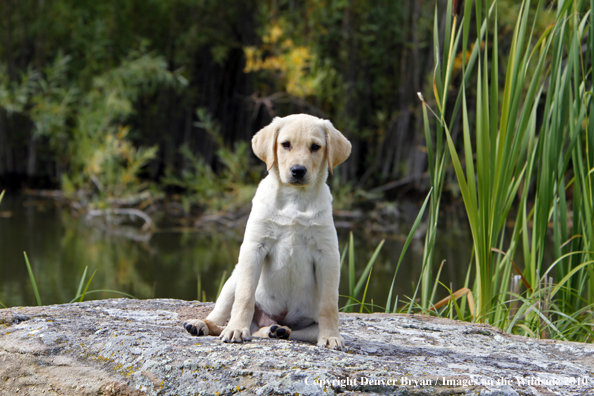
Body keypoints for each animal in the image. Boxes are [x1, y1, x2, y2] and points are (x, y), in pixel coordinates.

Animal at [183, 113, 350, 348]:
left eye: (315, 147)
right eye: (286, 144)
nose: (298, 171)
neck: (295, 199)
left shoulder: (327, 254)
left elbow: (329, 304)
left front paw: (331, 336)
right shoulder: (254, 247)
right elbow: (245, 297)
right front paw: (236, 329)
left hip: (304, 327)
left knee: (286, 330)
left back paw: (277, 330)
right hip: (232, 281)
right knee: (221, 318)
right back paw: (203, 325)